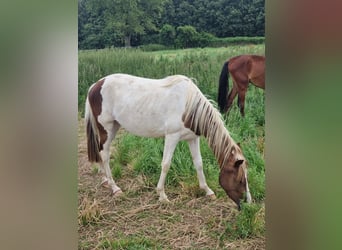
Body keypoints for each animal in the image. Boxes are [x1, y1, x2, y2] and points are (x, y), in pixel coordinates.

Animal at [85, 73, 251, 209]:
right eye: (240, 180)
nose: (247, 203)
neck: (189, 106)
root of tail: (95, 85)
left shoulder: (192, 138)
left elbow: (198, 163)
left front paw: (208, 191)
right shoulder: (172, 136)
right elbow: (166, 164)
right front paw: (162, 195)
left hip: (114, 127)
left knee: (101, 152)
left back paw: (105, 180)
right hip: (106, 128)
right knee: (105, 155)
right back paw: (115, 188)